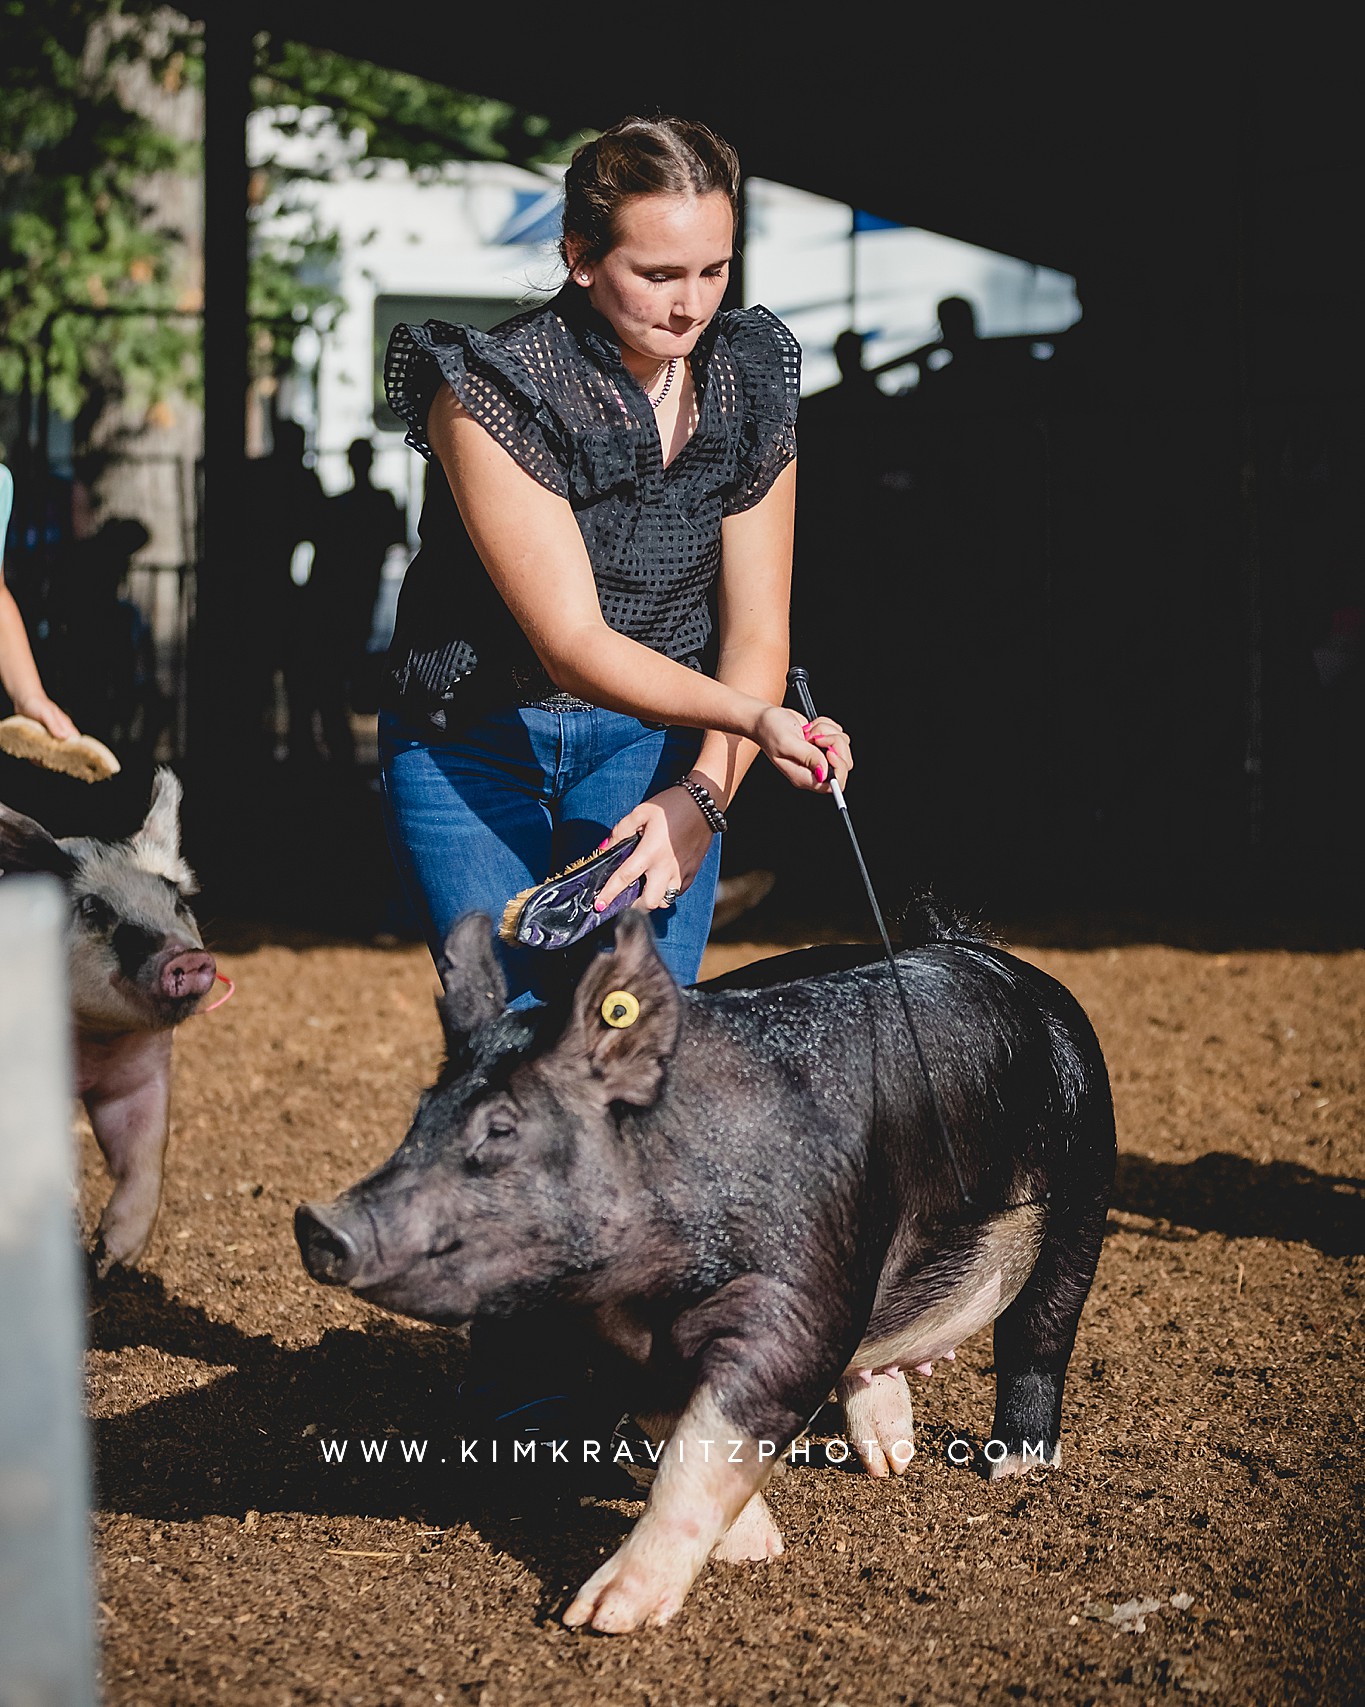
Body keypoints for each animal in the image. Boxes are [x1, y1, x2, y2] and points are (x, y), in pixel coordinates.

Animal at [0, 771, 215, 1270]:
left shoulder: (141, 1077)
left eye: (176, 900)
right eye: (95, 908)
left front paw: (111, 1258)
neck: (94, 1041)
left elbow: (145, 1150)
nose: (187, 957)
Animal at [295, 914, 1105, 1631]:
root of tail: (977, 949)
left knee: (1041, 1333)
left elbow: (721, 1426)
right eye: (420, 1114)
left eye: (500, 1128)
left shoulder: (800, 1287)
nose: (318, 1221)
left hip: (1084, 1187)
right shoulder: (606, 1337)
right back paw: (891, 1463)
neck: (646, 1288)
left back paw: (1014, 1468)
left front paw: (602, 1615)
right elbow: (673, 1424)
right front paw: (754, 1550)